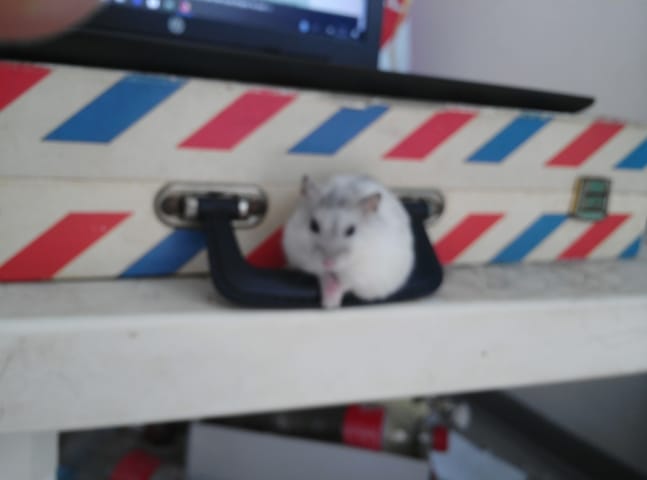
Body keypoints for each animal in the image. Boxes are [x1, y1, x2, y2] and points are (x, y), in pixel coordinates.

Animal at [282, 174, 414, 308]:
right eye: (313, 226)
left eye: (351, 231)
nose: (327, 263)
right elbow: (323, 275)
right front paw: (328, 303)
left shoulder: (363, 274)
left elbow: (346, 284)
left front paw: (330, 304)